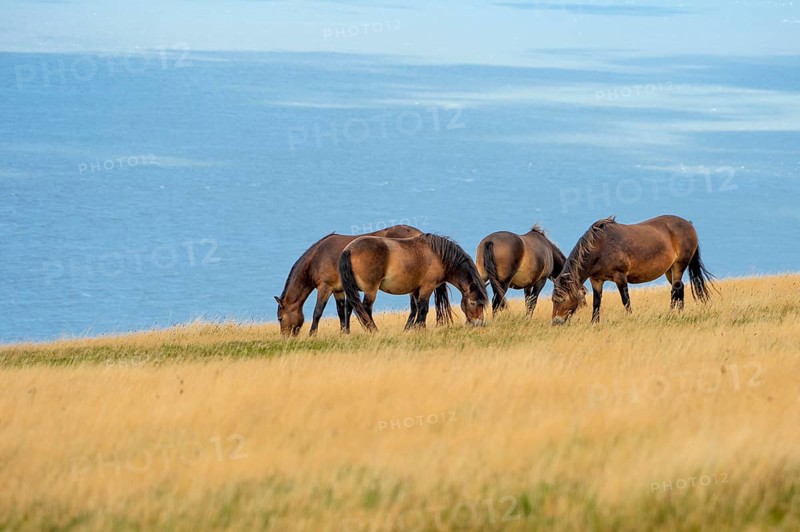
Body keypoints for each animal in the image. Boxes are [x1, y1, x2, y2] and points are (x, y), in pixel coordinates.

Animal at [275, 225, 448, 336]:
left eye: (280, 318)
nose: (286, 338)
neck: (318, 257)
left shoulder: (325, 287)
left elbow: (318, 311)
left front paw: (312, 334)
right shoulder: (339, 290)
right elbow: (342, 311)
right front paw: (344, 332)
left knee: (414, 307)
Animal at [338, 233, 488, 332]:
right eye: (473, 303)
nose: (478, 323)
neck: (438, 255)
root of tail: (349, 249)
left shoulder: (416, 289)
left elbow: (415, 308)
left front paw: (411, 328)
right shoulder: (427, 287)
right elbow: (423, 308)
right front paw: (420, 328)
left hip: (354, 289)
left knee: (350, 308)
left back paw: (347, 332)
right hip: (370, 290)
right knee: (365, 309)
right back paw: (373, 330)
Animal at [551, 215, 715, 325]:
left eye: (562, 299)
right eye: (553, 300)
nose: (556, 322)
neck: (600, 247)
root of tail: (689, 224)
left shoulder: (620, 277)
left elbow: (626, 301)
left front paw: (630, 318)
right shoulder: (596, 280)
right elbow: (596, 303)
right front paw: (594, 323)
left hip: (679, 266)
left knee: (675, 290)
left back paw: (671, 314)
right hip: (670, 270)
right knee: (680, 289)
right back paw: (679, 313)